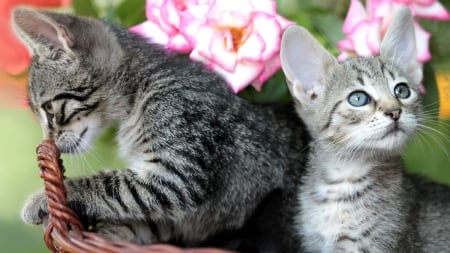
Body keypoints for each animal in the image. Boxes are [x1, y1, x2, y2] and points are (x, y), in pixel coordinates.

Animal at [14, 6, 310, 252]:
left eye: (49, 110)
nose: (49, 141)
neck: (142, 89)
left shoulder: (177, 173)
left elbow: (110, 185)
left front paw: (42, 199)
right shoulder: (172, 211)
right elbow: (141, 219)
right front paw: (108, 233)